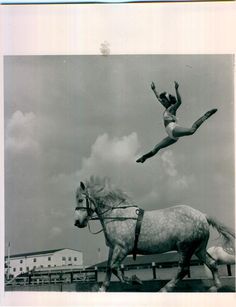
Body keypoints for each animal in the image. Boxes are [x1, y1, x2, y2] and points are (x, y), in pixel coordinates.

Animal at [73, 177, 234, 292]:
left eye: (80, 199)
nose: (77, 222)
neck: (117, 216)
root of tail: (202, 215)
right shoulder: (113, 248)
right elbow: (108, 268)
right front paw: (102, 289)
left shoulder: (122, 248)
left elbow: (114, 267)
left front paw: (134, 280)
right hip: (198, 249)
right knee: (212, 263)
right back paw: (215, 287)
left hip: (185, 248)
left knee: (183, 270)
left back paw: (165, 289)